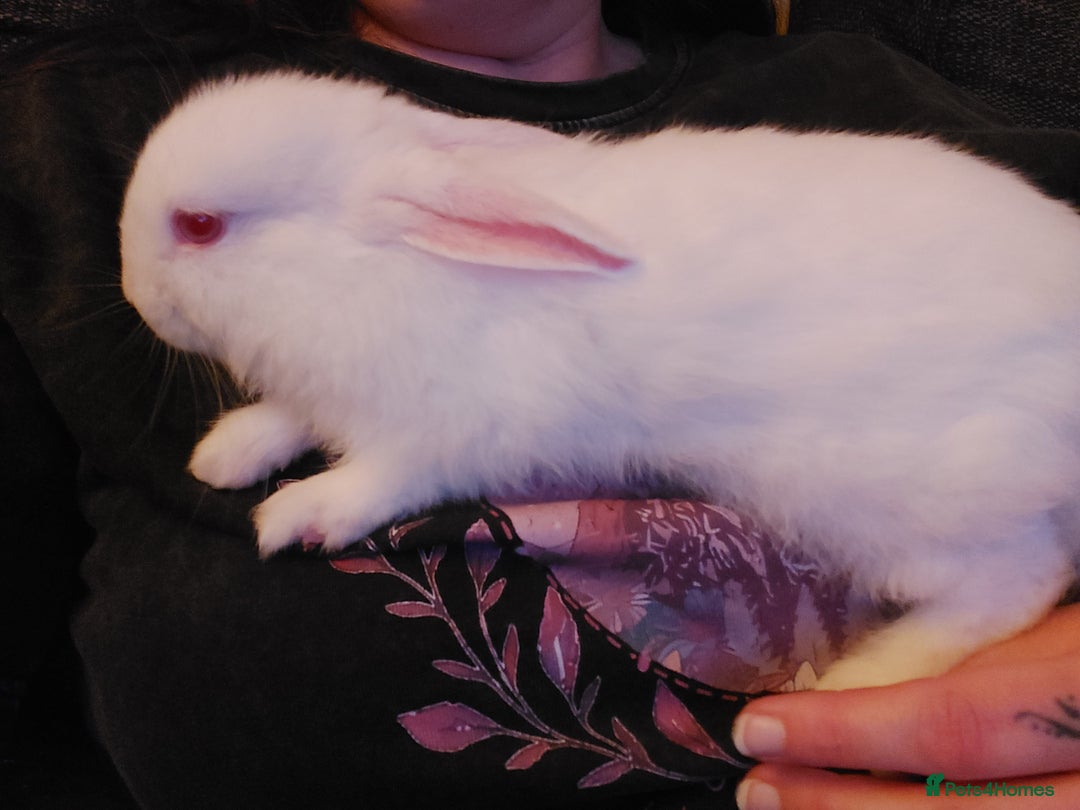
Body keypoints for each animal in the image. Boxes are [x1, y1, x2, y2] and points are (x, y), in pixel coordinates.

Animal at [119, 70, 1080, 690]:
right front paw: (224, 455)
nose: (135, 297)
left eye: (200, 226)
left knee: (1017, 582)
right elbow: (288, 416)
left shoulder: (446, 437)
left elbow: (378, 482)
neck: (362, 270)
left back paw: (861, 677)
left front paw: (296, 515)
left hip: (908, 499)